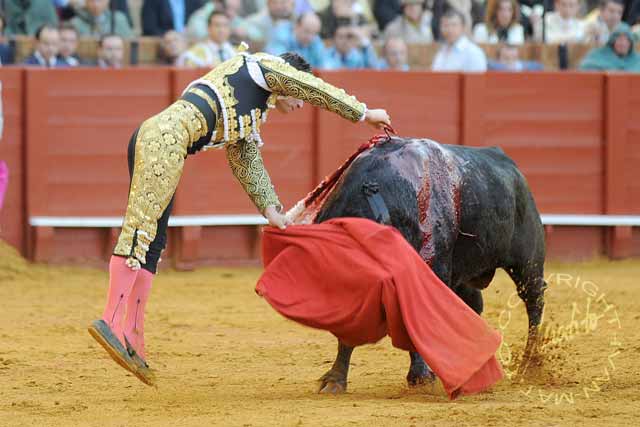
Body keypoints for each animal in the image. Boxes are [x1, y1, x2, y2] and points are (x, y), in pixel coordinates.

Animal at [310, 138, 544, 394]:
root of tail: (510, 165)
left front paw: (421, 377)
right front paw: (334, 379)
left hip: (528, 262)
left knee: (533, 301)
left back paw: (529, 367)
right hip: (463, 275)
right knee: (472, 306)